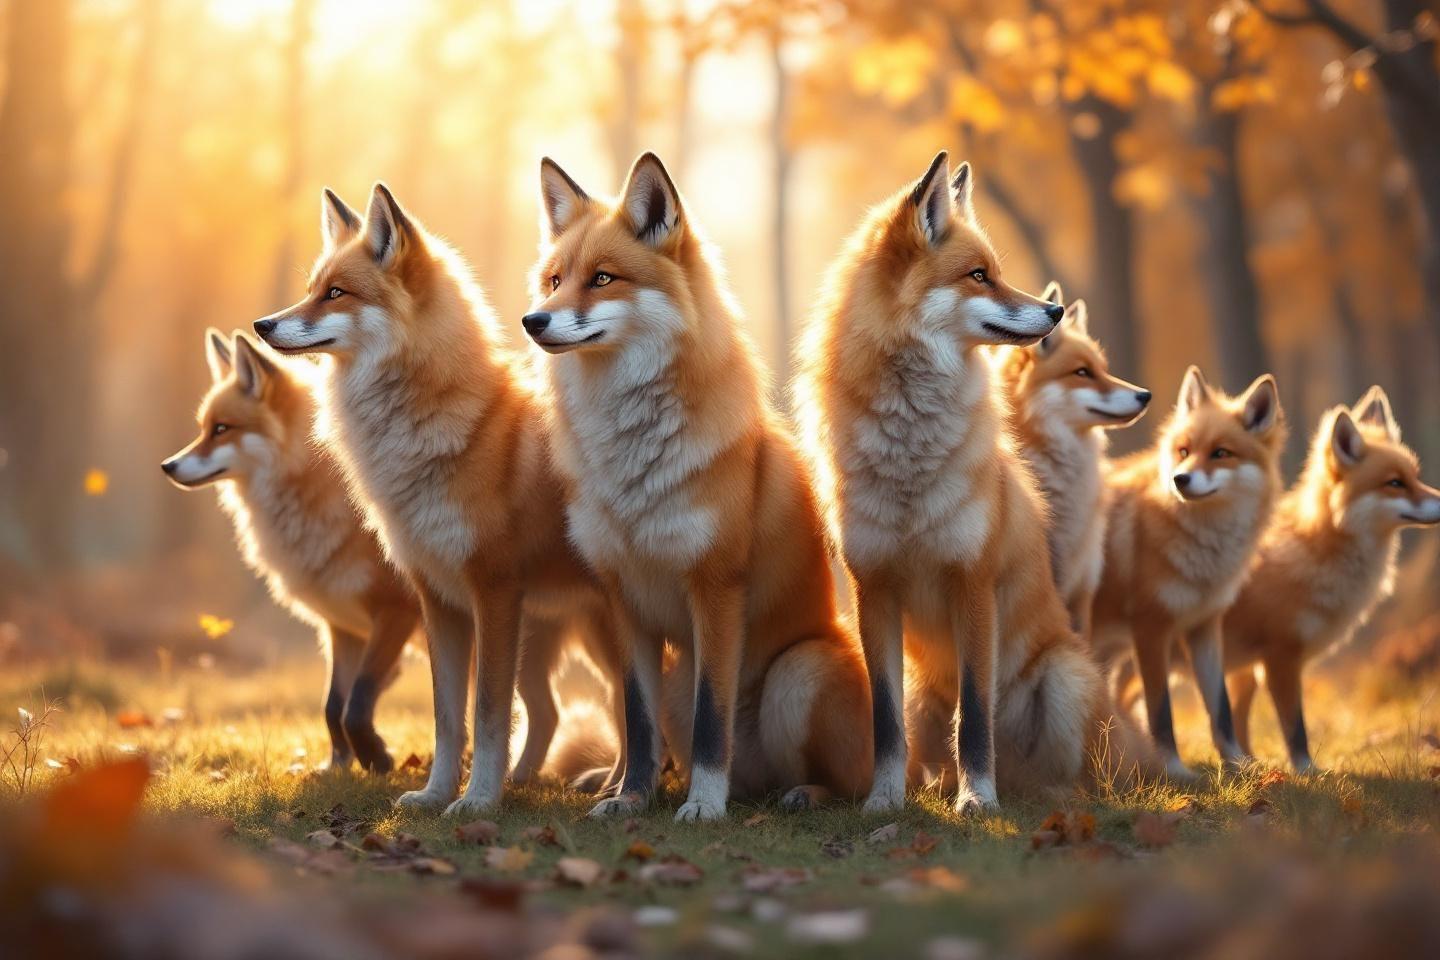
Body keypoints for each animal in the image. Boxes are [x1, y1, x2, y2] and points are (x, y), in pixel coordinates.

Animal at [161, 330, 420, 773]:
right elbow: (333, 706)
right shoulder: (343, 626)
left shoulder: (397, 611)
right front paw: (337, 766)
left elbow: (358, 703)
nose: (168, 466)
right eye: (203, 428)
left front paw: (376, 758)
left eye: (222, 429)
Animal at [252, 184, 623, 816]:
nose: (262, 324)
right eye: (312, 289)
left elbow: (489, 712)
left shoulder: (494, 591)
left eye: (336, 293)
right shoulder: (436, 597)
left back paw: (623, 788)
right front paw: (435, 794)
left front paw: (479, 802)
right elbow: (447, 717)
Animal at [523, 152, 874, 822]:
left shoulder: (715, 588)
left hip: (799, 672)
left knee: (849, 784)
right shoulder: (624, 597)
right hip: (675, 681)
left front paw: (705, 807)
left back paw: (796, 794)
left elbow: (714, 719)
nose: (533, 321)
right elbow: (635, 721)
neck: (632, 464)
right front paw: (631, 799)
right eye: (555, 281)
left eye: (602, 279)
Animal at [1092, 365, 1285, 778]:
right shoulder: (1151, 629)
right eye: (1183, 451)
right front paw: (1174, 770)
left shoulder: (1205, 628)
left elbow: (1222, 710)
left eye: (1220, 453)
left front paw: (1238, 764)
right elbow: (1161, 712)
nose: (1180, 479)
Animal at [1222, 386, 1440, 771]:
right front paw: (1305, 771)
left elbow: (1238, 722)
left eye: (1415, 477)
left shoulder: (1246, 665)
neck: (1315, 551)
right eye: (1394, 484)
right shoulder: (1280, 656)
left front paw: (1248, 767)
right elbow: (1295, 727)